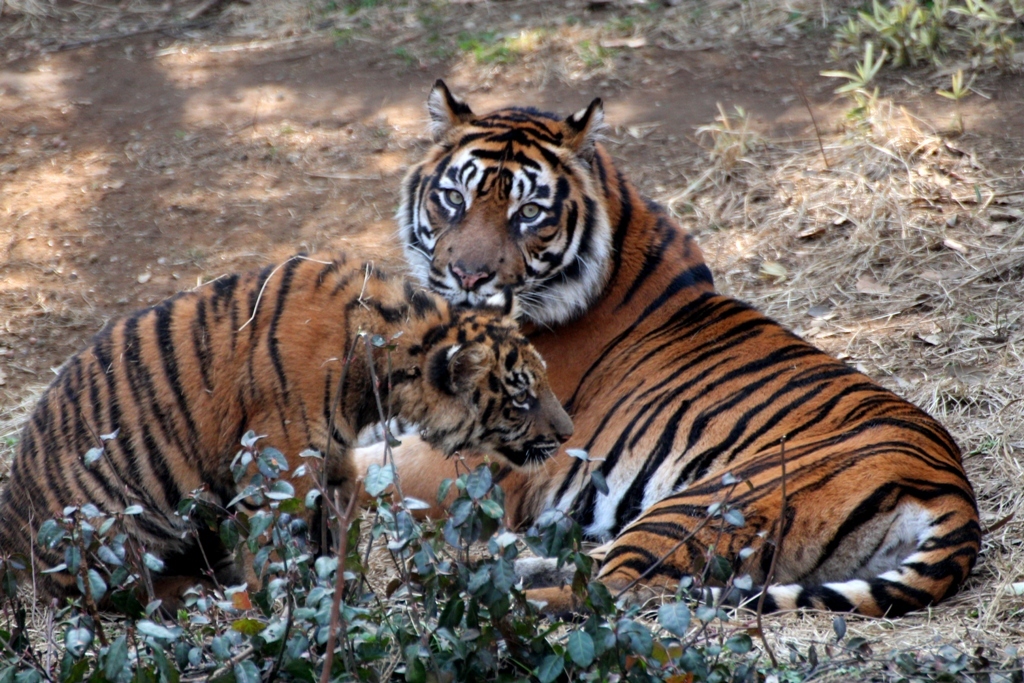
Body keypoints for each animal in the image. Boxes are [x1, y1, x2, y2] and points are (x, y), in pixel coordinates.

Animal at [356, 82, 978, 618]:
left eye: (528, 212)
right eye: (453, 198)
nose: (467, 276)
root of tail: (953, 489)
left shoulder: (466, 456)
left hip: (705, 500)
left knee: (617, 594)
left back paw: (463, 595)